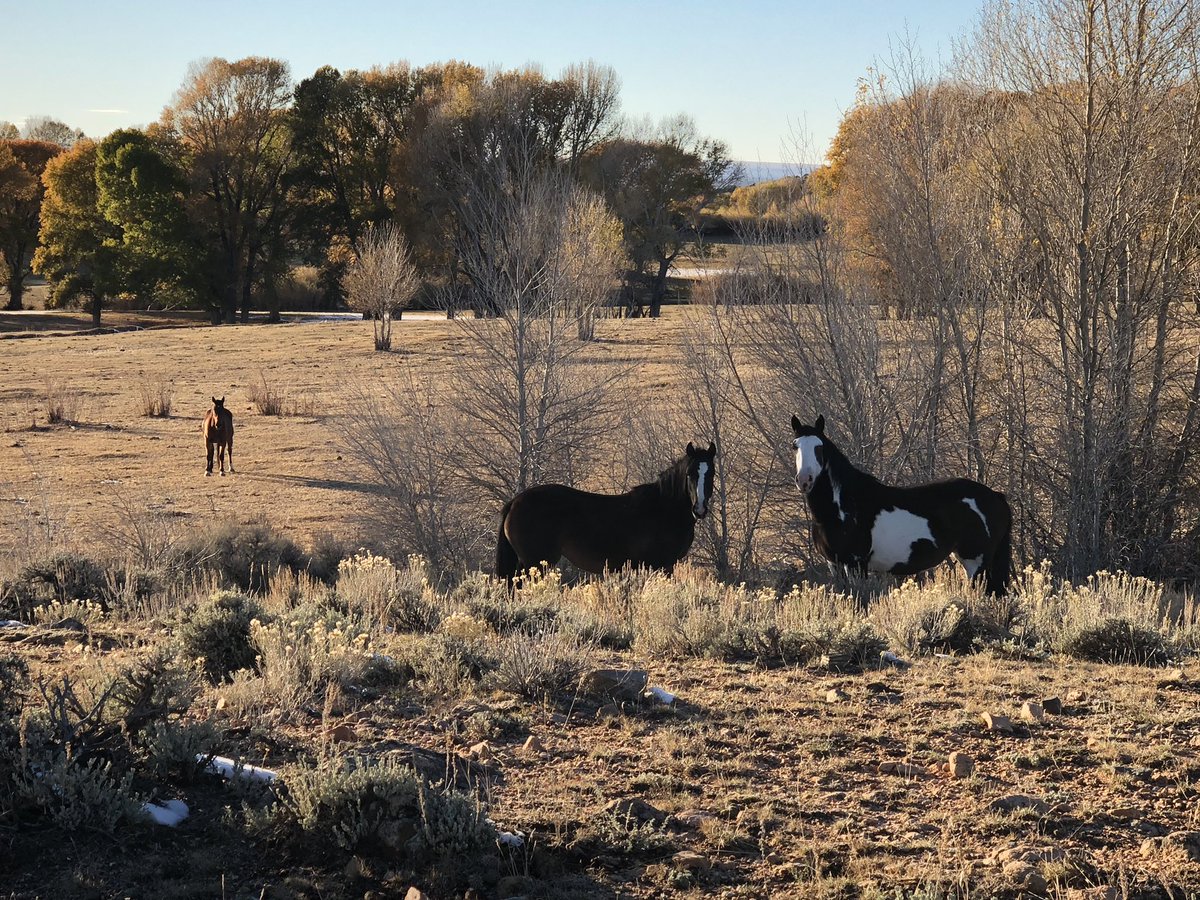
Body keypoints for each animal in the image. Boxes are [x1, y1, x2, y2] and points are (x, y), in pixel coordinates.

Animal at [495, 441, 717, 588]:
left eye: (711, 473)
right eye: (690, 473)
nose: (699, 509)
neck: (663, 508)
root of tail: (515, 502)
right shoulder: (662, 565)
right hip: (535, 563)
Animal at [791, 415, 1012, 595]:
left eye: (819, 447)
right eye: (795, 446)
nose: (805, 480)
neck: (842, 508)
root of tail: (996, 496)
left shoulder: (855, 563)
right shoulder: (834, 564)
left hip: (977, 562)